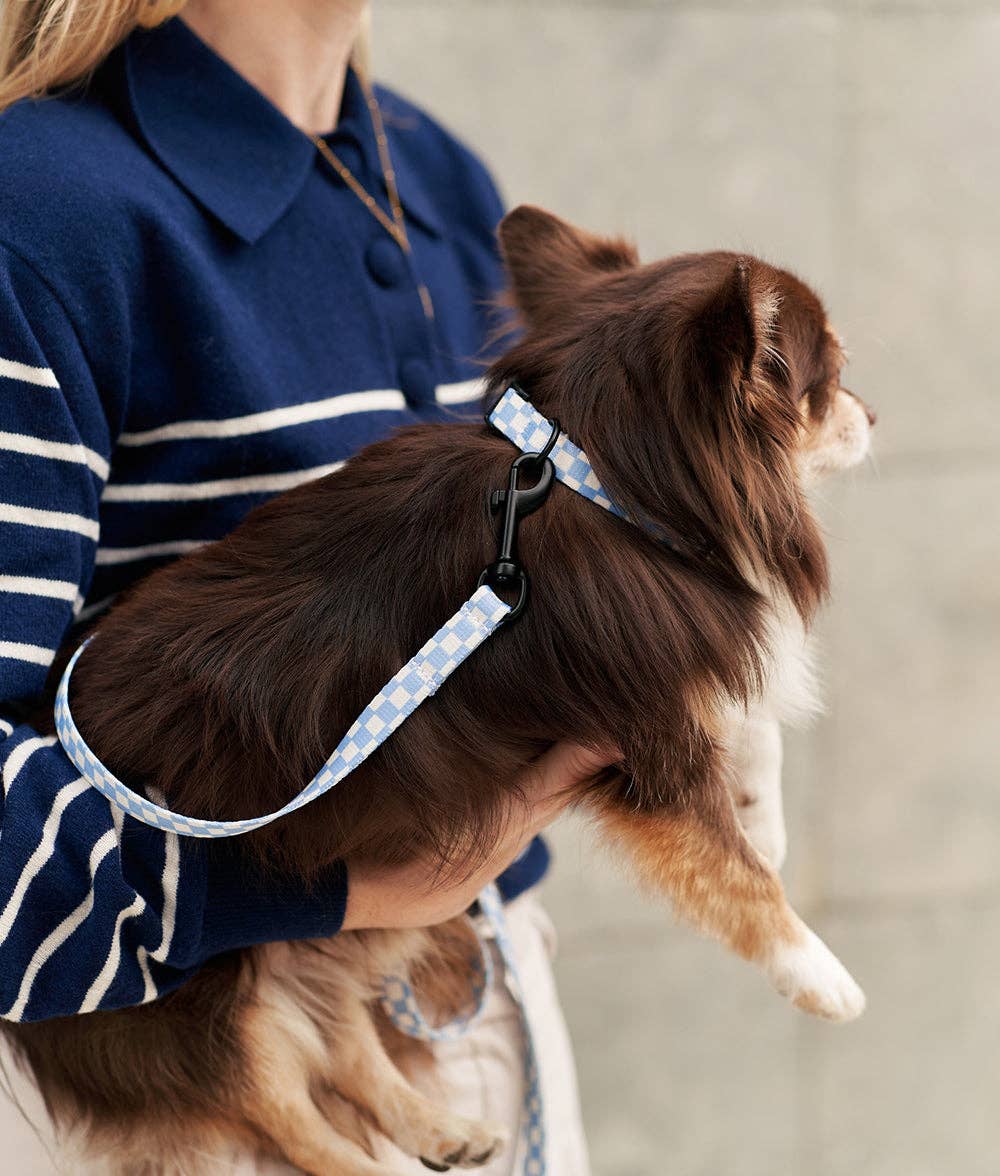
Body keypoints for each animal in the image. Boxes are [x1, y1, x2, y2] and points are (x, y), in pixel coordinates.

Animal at [3, 206, 870, 1171]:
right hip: (213, 1000)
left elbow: (748, 733)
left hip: (339, 938)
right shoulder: (645, 743)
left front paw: (762, 812)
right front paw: (819, 972)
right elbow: (737, 878)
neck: (595, 480)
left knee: (344, 1040)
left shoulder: (681, 677)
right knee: (283, 1107)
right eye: (829, 381)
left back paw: (441, 1127)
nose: (874, 412)